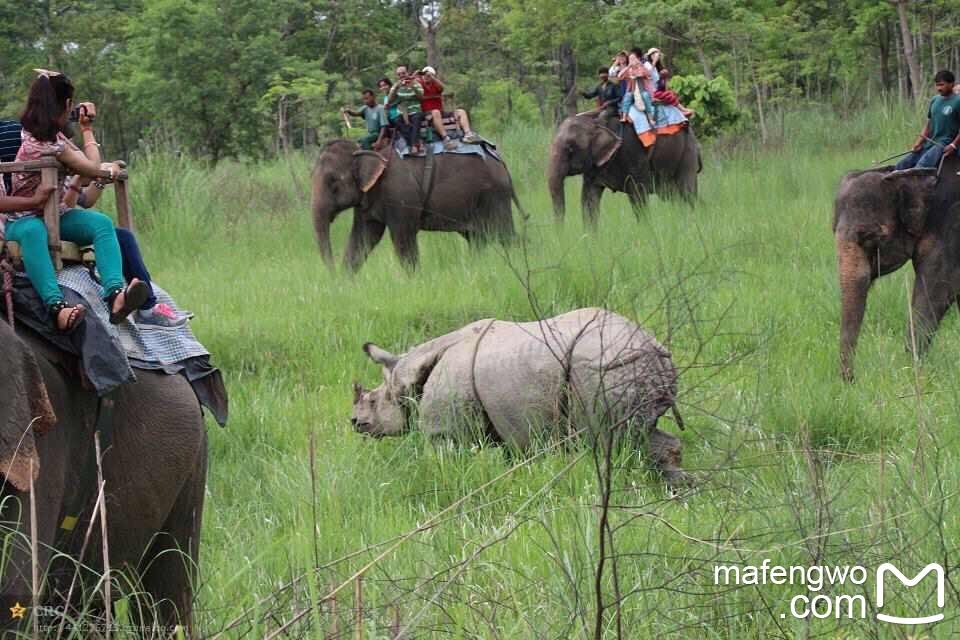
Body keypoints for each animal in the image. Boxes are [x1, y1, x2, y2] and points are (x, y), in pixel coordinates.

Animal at [312, 140, 520, 270]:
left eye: (333, 182)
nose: (332, 272)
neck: (366, 150)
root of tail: (501, 161)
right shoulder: (366, 200)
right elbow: (363, 238)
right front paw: (345, 283)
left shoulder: (400, 194)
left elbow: (402, 237)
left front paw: (414, 281)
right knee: (476, 238)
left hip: (495, 195)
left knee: (505, 234)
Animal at [352, 308, 688, 484]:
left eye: (374, 400)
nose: (355, 422)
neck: (406, 375)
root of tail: (652, 346)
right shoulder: (508, 420)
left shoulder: (446, 432)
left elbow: (446, 463)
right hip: (625, 366)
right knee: (643, 435)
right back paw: (680, 491)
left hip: (607, 368)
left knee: (611, 442)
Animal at [548, 114, 704, 226]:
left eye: (570, 149)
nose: (561, 233)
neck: (596, 121)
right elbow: (589, 199)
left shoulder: (633, 152)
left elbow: (638, 196)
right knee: (676, 197)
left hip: (687, 155)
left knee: (687, 194)